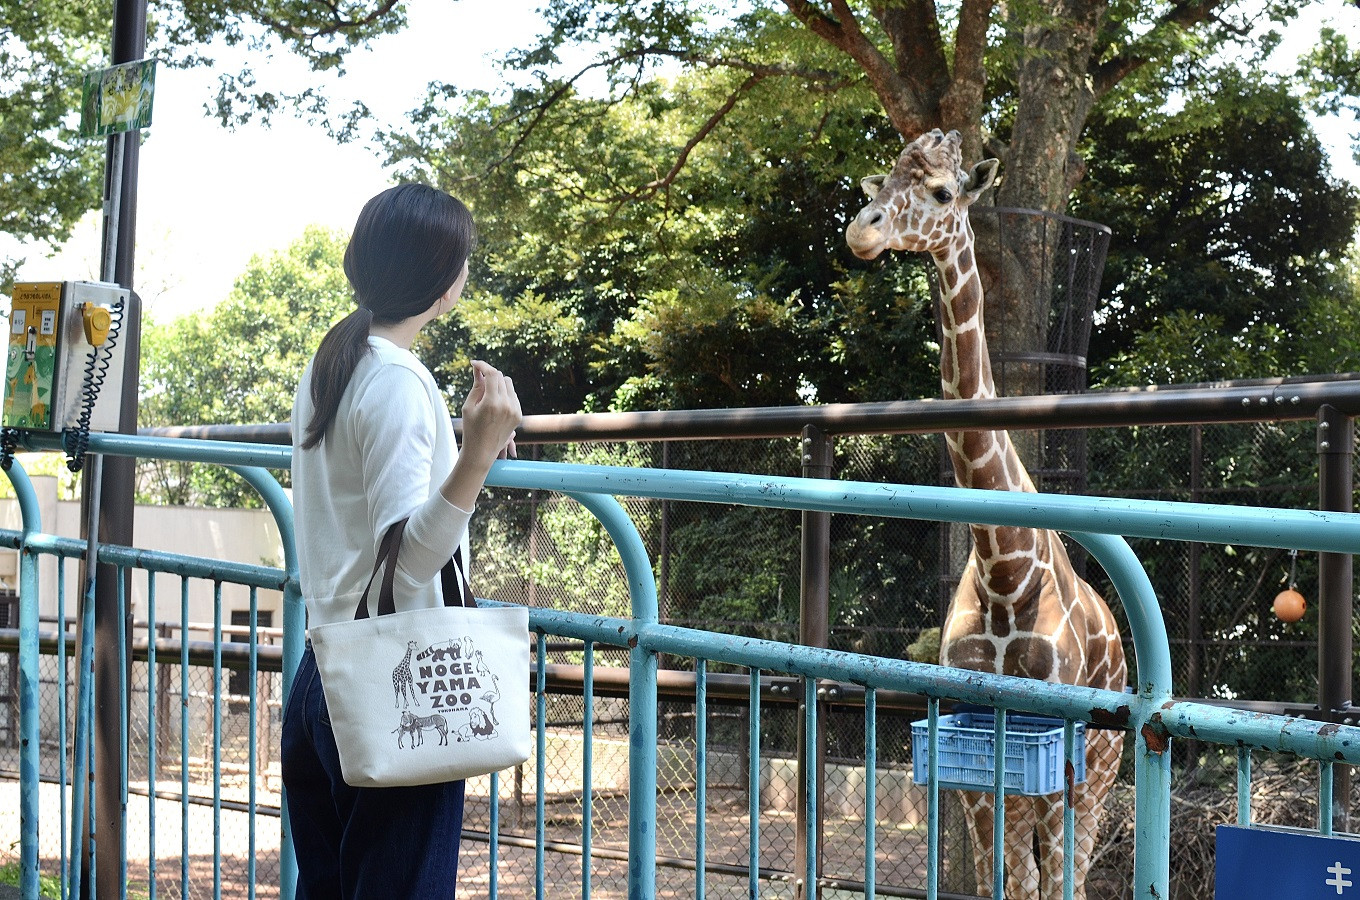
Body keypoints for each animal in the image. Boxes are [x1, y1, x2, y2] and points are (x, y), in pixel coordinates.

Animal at [843, 128, 1131, 900]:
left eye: (943, 193)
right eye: (880, 181)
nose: (861, 231)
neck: (1006, 566)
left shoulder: (1054, 743)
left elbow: (1045, 883)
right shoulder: (972, 745)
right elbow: (1001, 877)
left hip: (1099, 769)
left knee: (1075, 871)